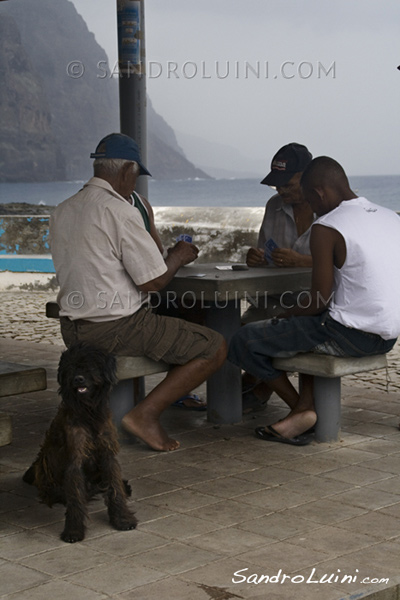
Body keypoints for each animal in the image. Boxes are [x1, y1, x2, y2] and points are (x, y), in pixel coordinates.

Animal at [22, 342, 138, 544]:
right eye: (71, 367)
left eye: (90, 366)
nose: (78, 379)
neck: (88, 413)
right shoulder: (74, 461)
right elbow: (76, 498)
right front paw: (74, 530)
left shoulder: (107, 455)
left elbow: (115, 488)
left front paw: (122, 519)